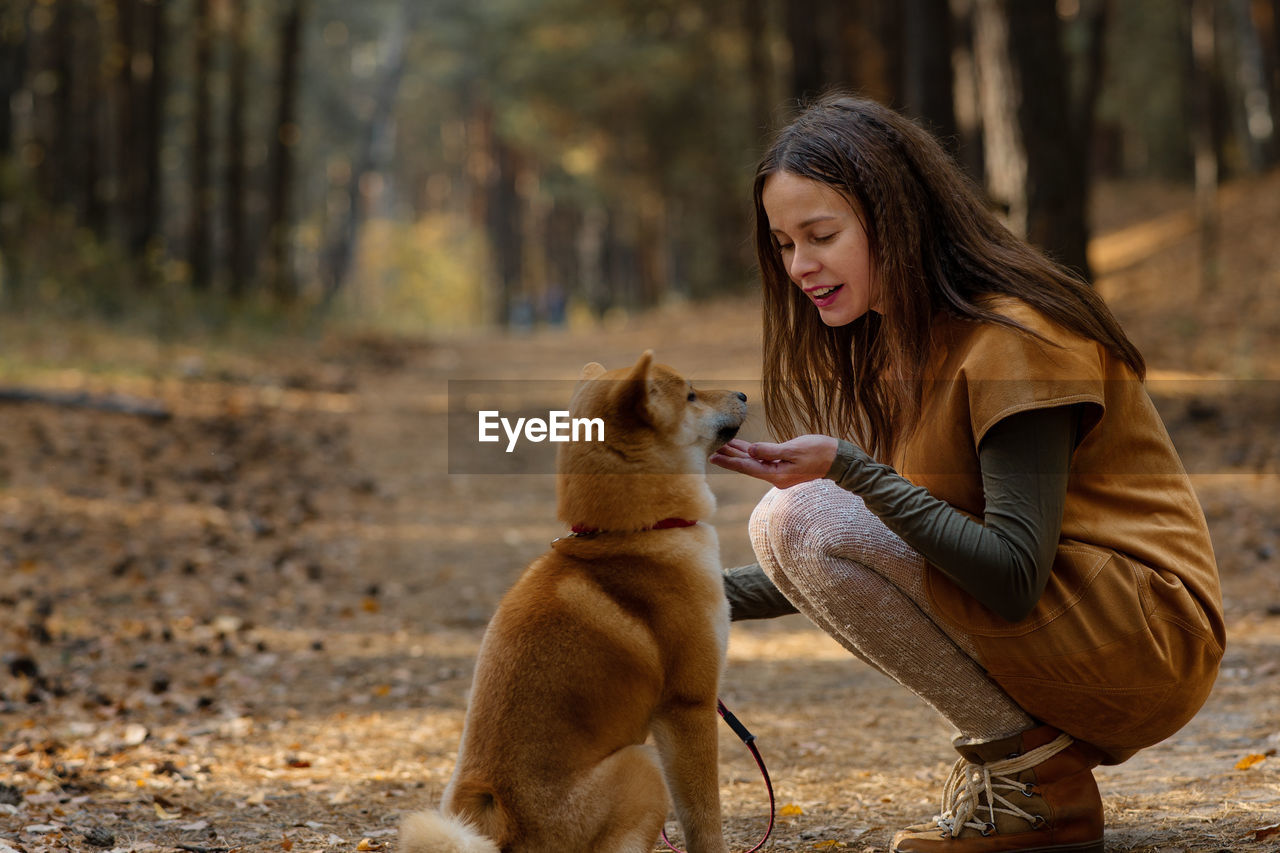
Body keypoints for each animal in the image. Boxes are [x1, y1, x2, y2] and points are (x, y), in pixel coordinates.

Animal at [401, 348, 747, 845]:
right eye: (691, 394)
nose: (743, 393)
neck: (630, 535)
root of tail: (503, 821)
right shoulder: (690, 706)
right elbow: (704, 820)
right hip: (643, 765)